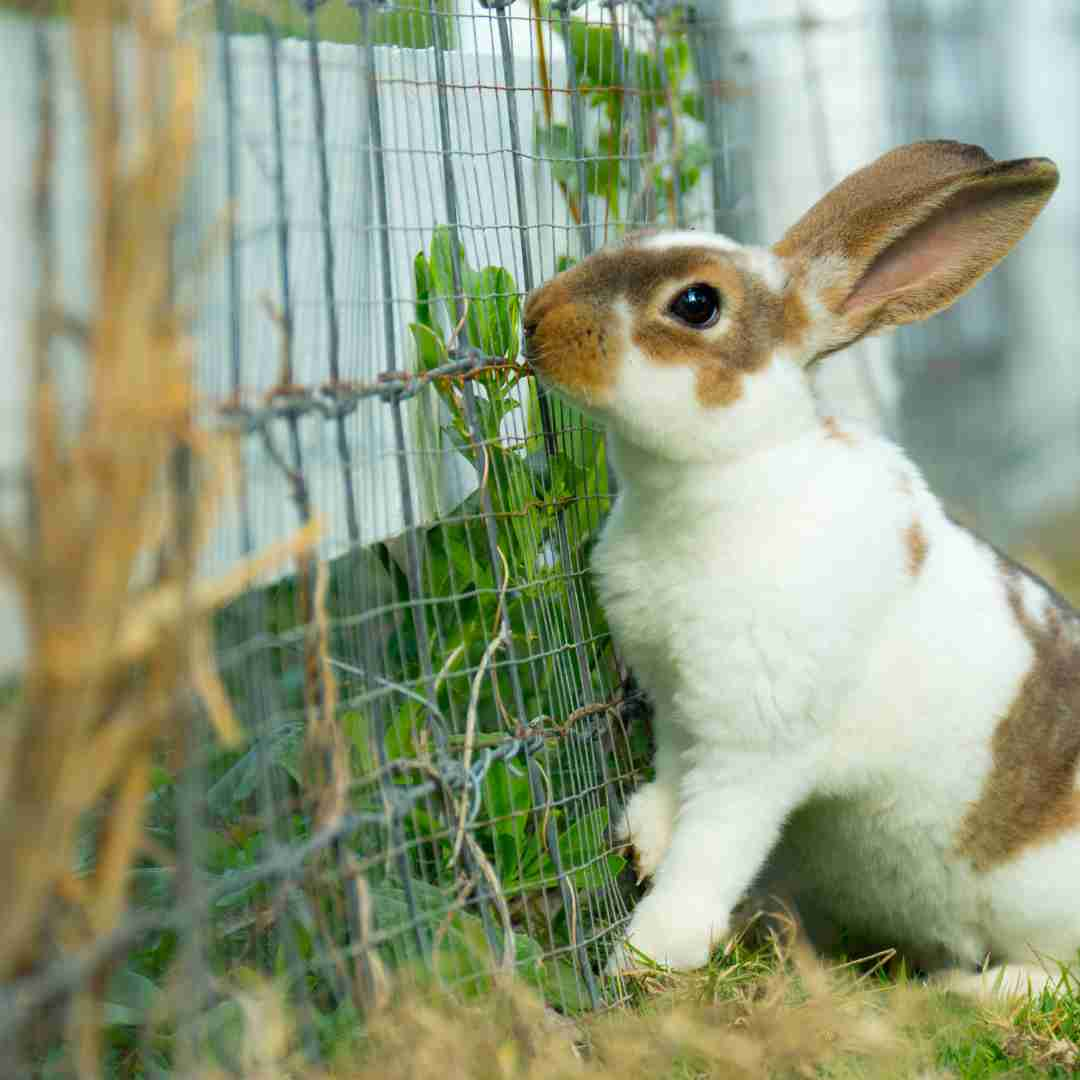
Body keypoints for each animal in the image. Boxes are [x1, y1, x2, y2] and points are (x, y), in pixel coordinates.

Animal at [518, 141, 1075, 993]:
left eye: (696, 304)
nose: (535, 317)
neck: (727, 478)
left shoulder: (756, 743)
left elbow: (712, 850)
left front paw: (649, 953)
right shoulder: (680, 705)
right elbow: (674, 782)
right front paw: (643, 838)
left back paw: (968, 993)